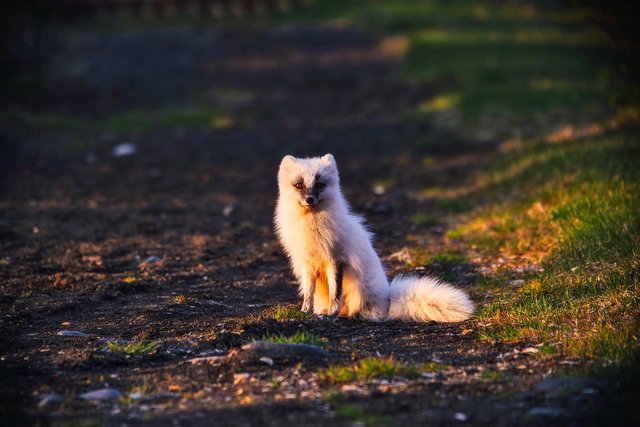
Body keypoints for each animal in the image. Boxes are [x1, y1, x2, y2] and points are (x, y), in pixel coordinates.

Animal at [272, 155, 472, 322]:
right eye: (298, 185)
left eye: (320, 185)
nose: (309, 199)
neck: (310, 228)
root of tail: (388, 301)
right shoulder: (307, 264)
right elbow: (308, 292)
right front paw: (305, 311)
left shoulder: (335, 259)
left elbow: (335, 293)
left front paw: (331, 314)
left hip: (361, 289)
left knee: (366, 311)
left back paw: (354, 315)